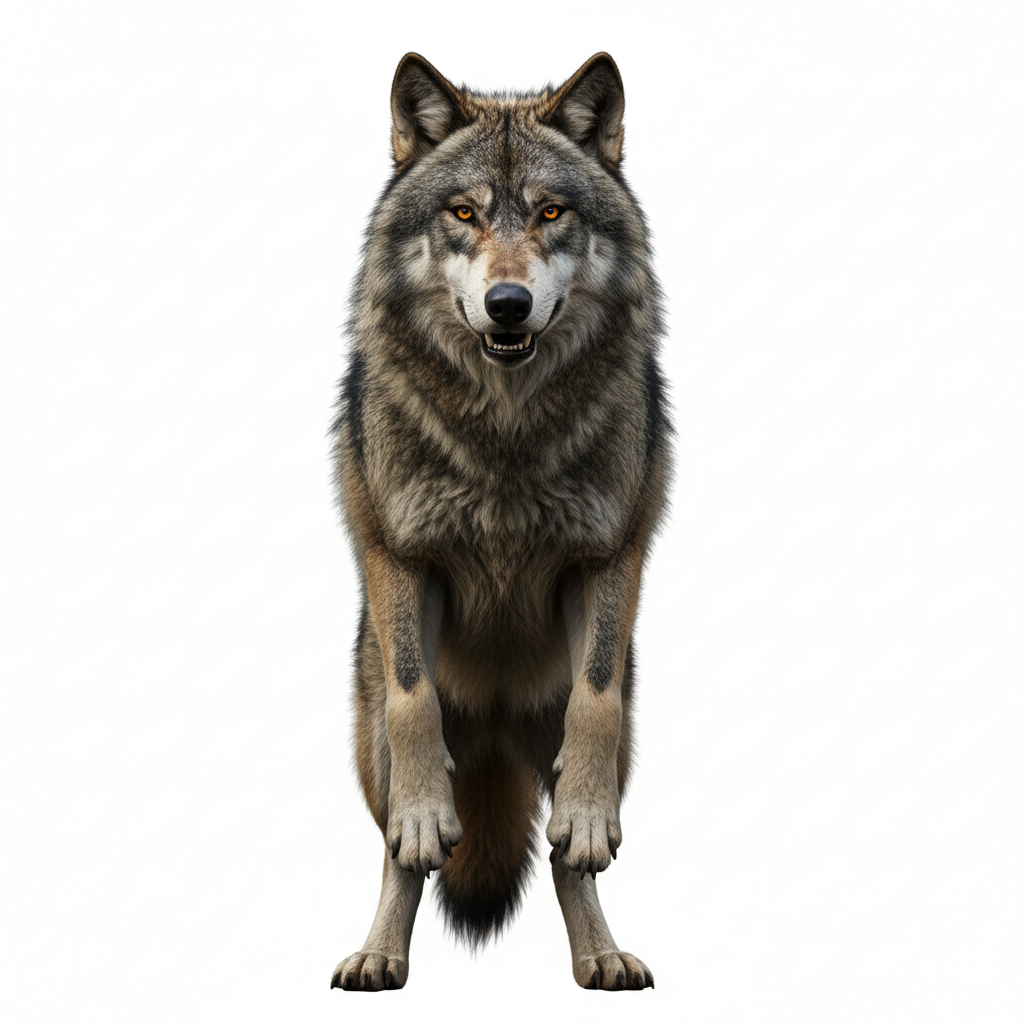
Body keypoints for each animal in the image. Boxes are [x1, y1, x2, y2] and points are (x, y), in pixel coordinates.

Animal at [329, 51, 671, 991]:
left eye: (551, 212)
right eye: (464, 213)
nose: (509, 303)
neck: (505, 433)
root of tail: (490, 729)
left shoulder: (610, 551)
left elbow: (595, 695)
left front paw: (585, 818)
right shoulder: (398, 551)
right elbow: (413, 702)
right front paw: (421, 819)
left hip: (613, 735)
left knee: (563, 858)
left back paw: (600, 956)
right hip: (369, 735)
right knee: (397, 851)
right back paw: (379, 953)